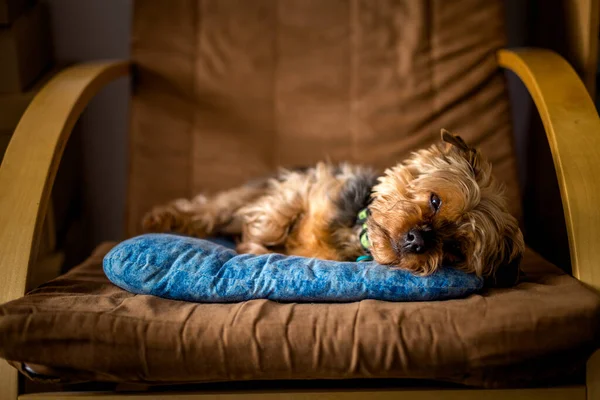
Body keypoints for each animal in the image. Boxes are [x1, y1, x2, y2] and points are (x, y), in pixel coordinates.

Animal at [143, 130, 524, 286]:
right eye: (435, 200)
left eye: (456, 248)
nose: (418, 240)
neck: (356, 234)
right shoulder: (309, 185)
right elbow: (276, 217)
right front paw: (255, 243)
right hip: (242, 197)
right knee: (208, 208)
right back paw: (160, 217)